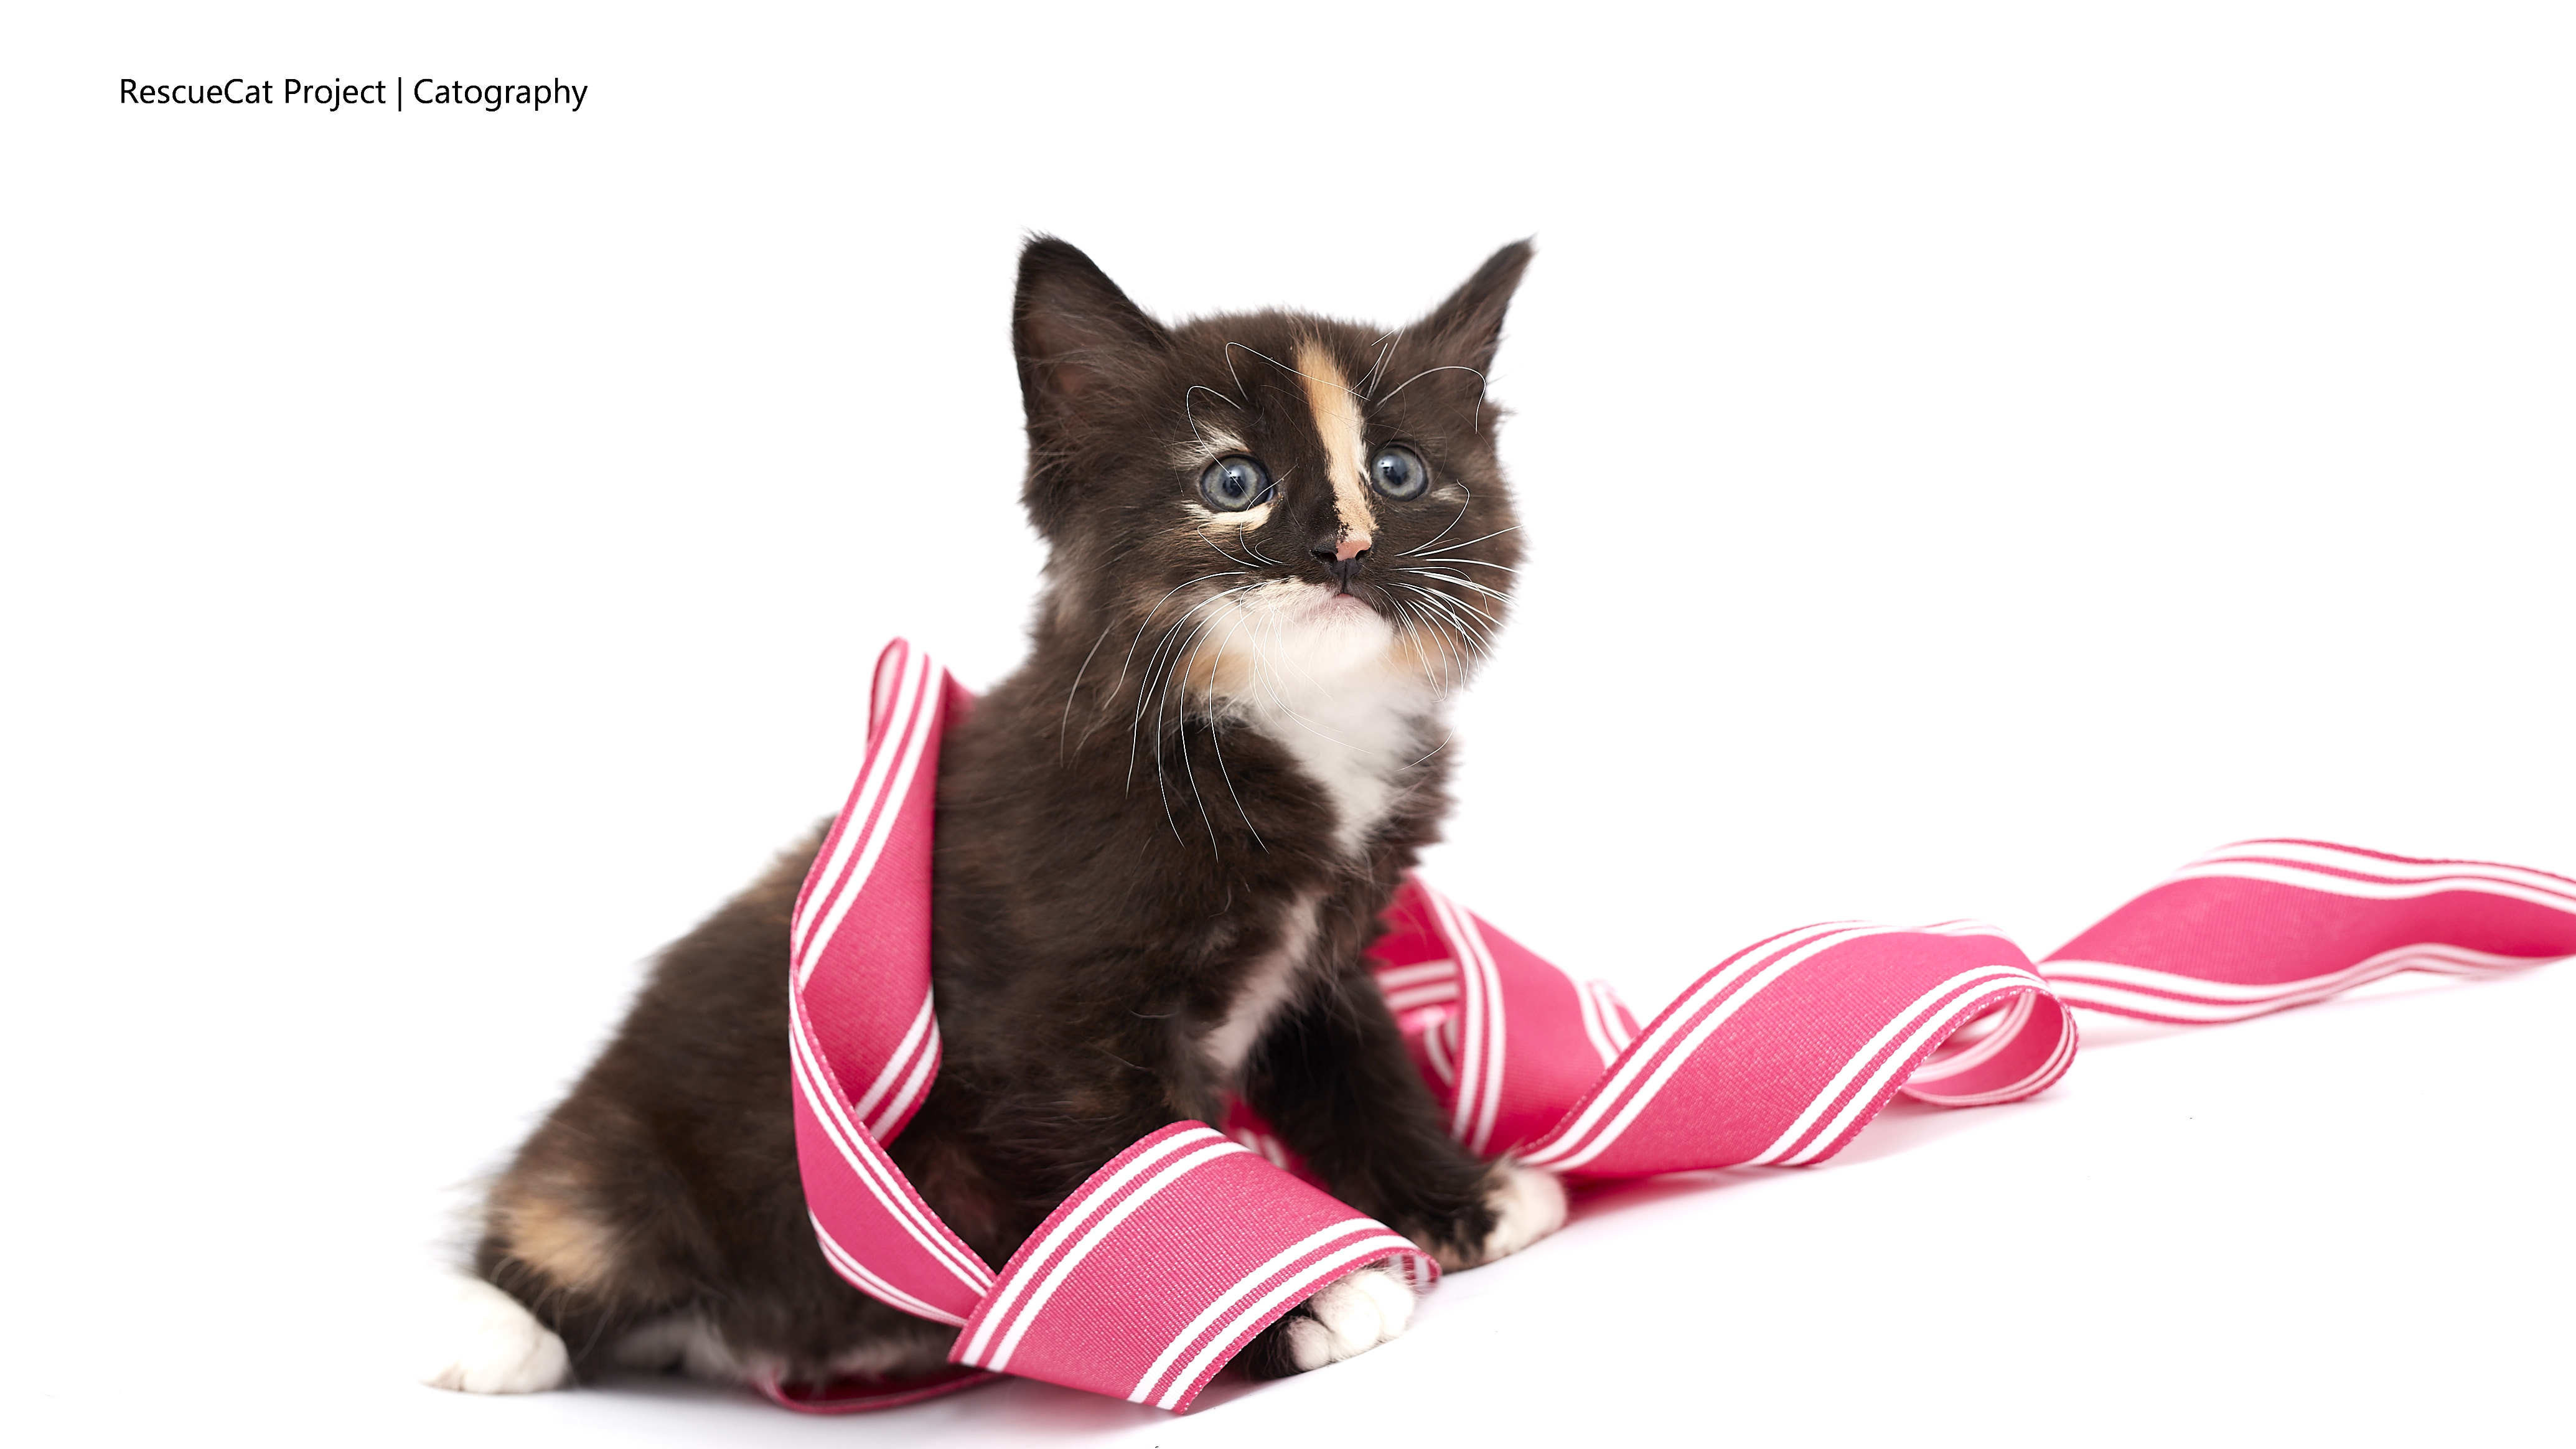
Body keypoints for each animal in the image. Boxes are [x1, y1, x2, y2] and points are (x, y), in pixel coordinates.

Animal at [423, 236, 1560, 1397]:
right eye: (1233, 481)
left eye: (1398, 473)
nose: (1344, 547)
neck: (1282, 727)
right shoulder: (1053, 1017)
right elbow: (1143, 1163)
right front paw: (1286, 1302)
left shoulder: (1323, 955)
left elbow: (1359, 1068)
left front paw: (1457, 1201)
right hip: (641, 1147)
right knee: (571, 1215)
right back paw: (488, 1322)